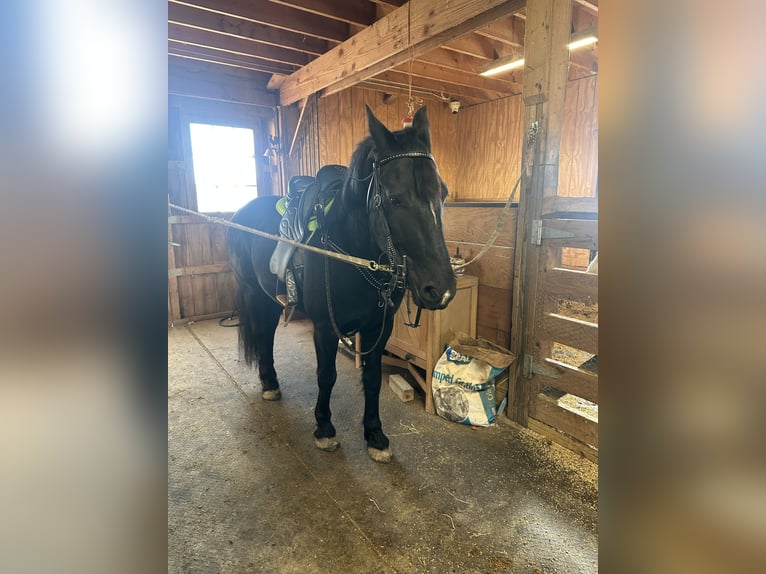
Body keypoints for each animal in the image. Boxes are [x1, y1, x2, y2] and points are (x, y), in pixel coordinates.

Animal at [227, 105, 456, 463]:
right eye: (395, 199)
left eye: (442, 193)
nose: (441, 289)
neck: (353, 251)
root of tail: (241, 212)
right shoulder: (324, 327)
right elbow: (327, 376)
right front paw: (324, 429)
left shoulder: (379, 327)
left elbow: (373, 379)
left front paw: (375, 435)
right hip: (254, 294)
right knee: (263, 335)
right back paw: (269, 384)